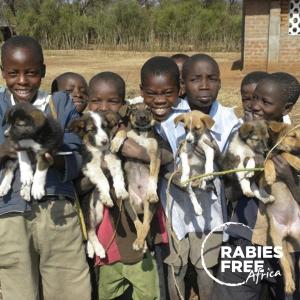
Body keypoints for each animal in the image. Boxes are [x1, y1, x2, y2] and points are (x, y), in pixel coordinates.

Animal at [69, 110, 129, 258]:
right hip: (87, 210)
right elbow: (103, 180)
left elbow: (118, 176)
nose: (105, 141)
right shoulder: (90, 166)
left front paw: (121, 191)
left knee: (91, 230)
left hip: (98, 213)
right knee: (90, 231)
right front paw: (107, 197)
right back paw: (99, 250)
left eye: (105, 127)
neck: (100, 150)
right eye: (92, 130)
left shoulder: (112, 159)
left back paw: (91, 249)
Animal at [110, 103, 161, 251]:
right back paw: (140, 243)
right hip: (128, 203)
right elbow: (123, 132)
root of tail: (140, 204)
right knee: (138, 223)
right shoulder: (128, 137)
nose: (142, 117)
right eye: (133, 110)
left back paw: (141, 242)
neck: (141, 133)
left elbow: (153, 176)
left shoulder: (155, 155)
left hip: (149, 206)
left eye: (148, 109)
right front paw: (115, 143)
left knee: (146, 224)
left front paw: (152, 192)